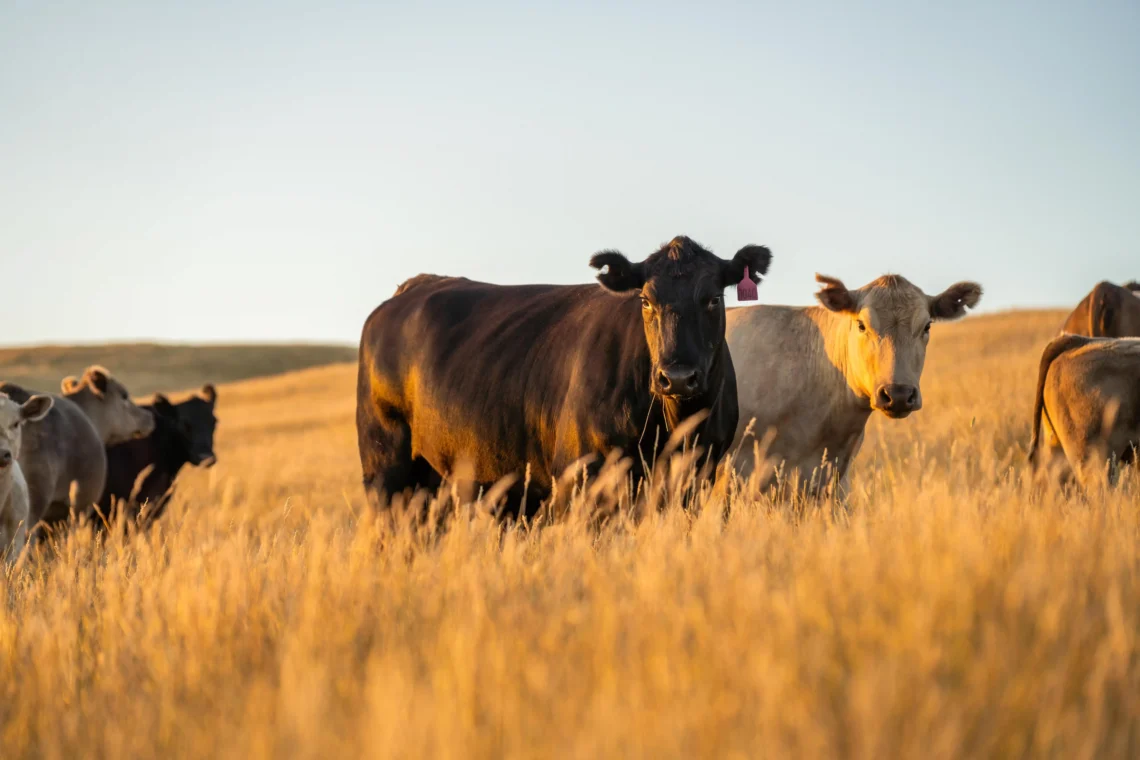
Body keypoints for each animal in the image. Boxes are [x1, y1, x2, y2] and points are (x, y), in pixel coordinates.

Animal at [356, 235, 772, 516]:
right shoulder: (579, 481)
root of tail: (415, 285)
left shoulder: (699, 476)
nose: (679, 377)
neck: (674, 426)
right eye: (645, 300)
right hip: (386, 468)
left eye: (714, 299)